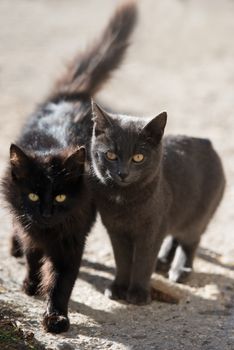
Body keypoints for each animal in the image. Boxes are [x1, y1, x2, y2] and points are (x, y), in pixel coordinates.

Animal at [1, 1, 137, 332]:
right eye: (33, 195)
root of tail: (69, 97)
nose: (47, 212)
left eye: (61, 196)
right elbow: (34, 256)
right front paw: (31, 284)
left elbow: (62, 281)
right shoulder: (32, 228)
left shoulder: (72, 239)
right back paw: (15, 249)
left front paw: (56, 316)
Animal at [89, 102, 225, 304]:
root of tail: (206, 141)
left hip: (198, 215)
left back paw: (180, 269)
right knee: (175, 235)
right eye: (111, 155)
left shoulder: (151, 231)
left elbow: (143, 262)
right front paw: (118, 288)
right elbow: (122, 261)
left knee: (190, 240)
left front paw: (138, 293)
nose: (123, 173)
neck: (124, 199)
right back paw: (163, 261)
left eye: (138, 157)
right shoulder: (116, 230)